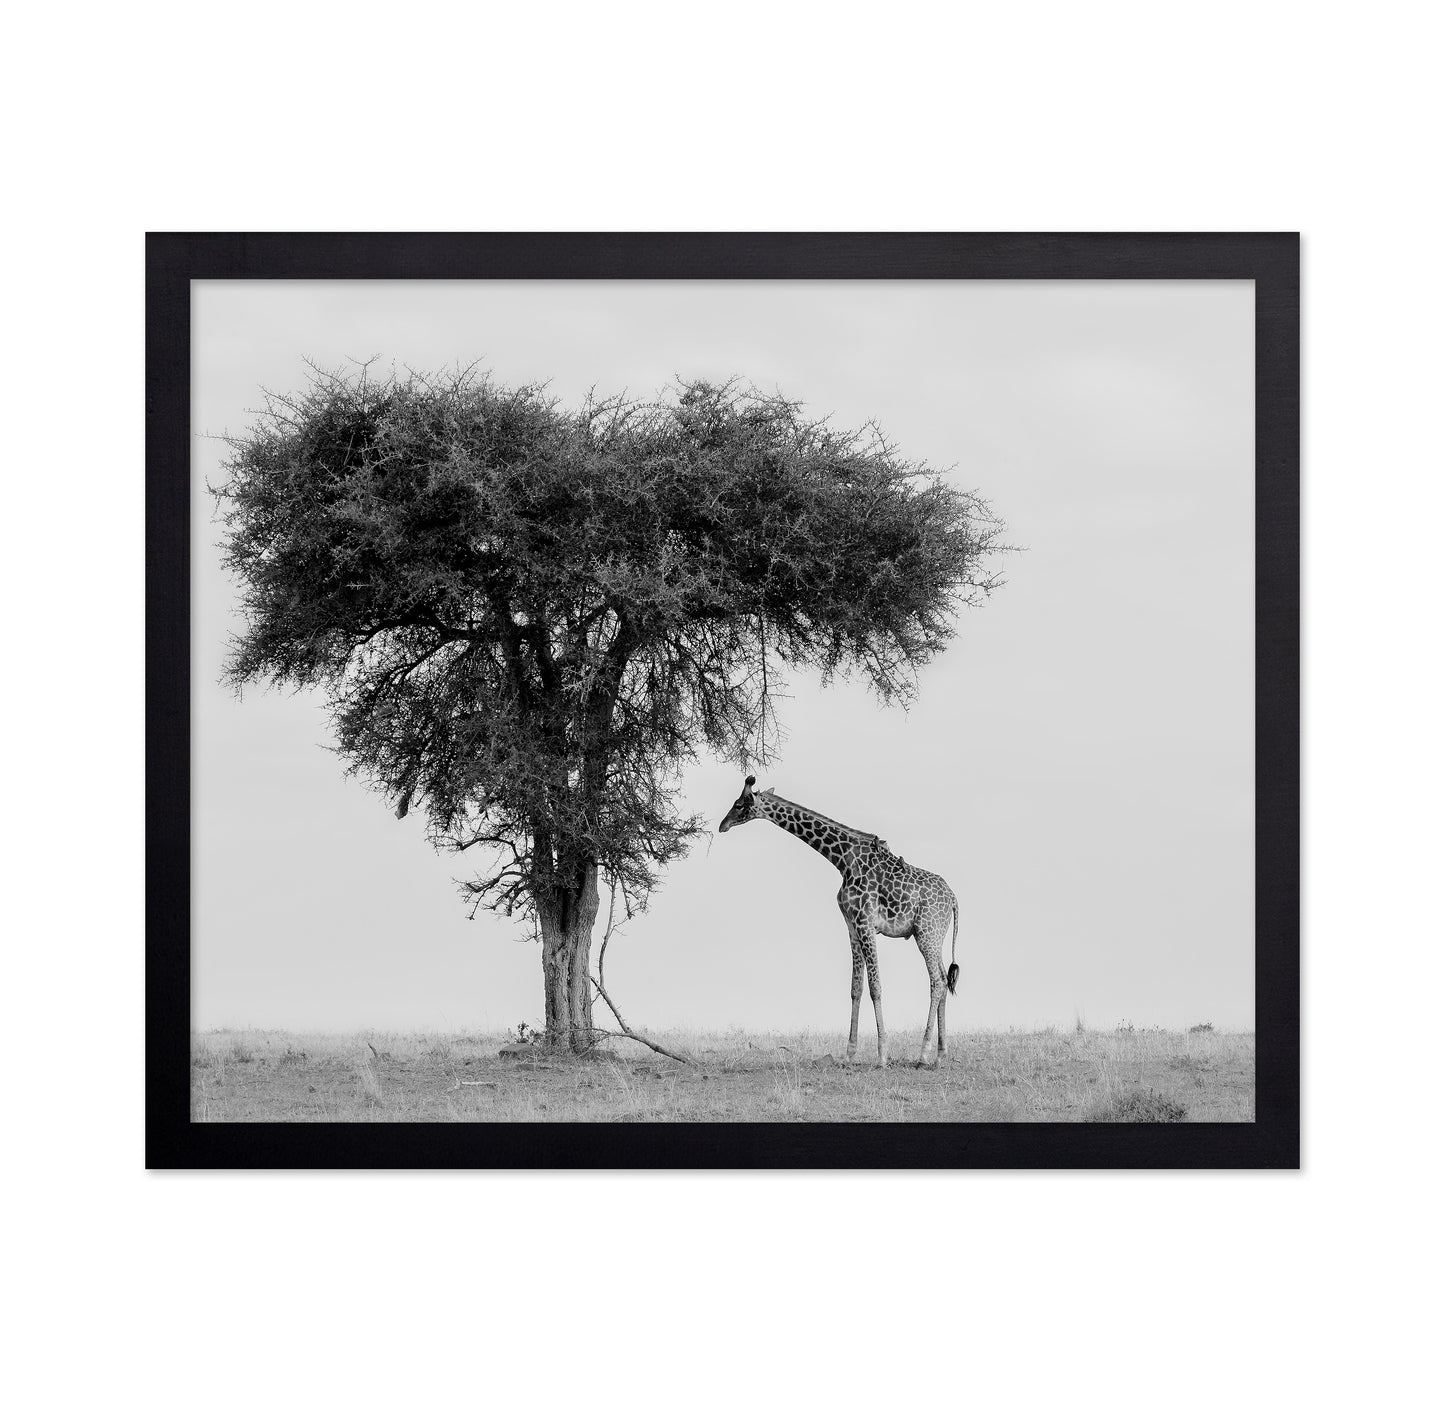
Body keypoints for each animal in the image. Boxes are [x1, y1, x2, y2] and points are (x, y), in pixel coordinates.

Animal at [717, 776, 960, 1069]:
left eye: (739, 804)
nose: (722, 825)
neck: (842, 859)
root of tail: (954, 898)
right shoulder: (852, 926)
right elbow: (856, 988)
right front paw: (849, 1054)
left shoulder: (866, 923)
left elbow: (876, 987)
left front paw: (882, 1056)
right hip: (935, 935)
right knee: (944, 980)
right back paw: (941, 1054)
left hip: (926, 933)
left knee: (937, 981)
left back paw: (923, 1055)